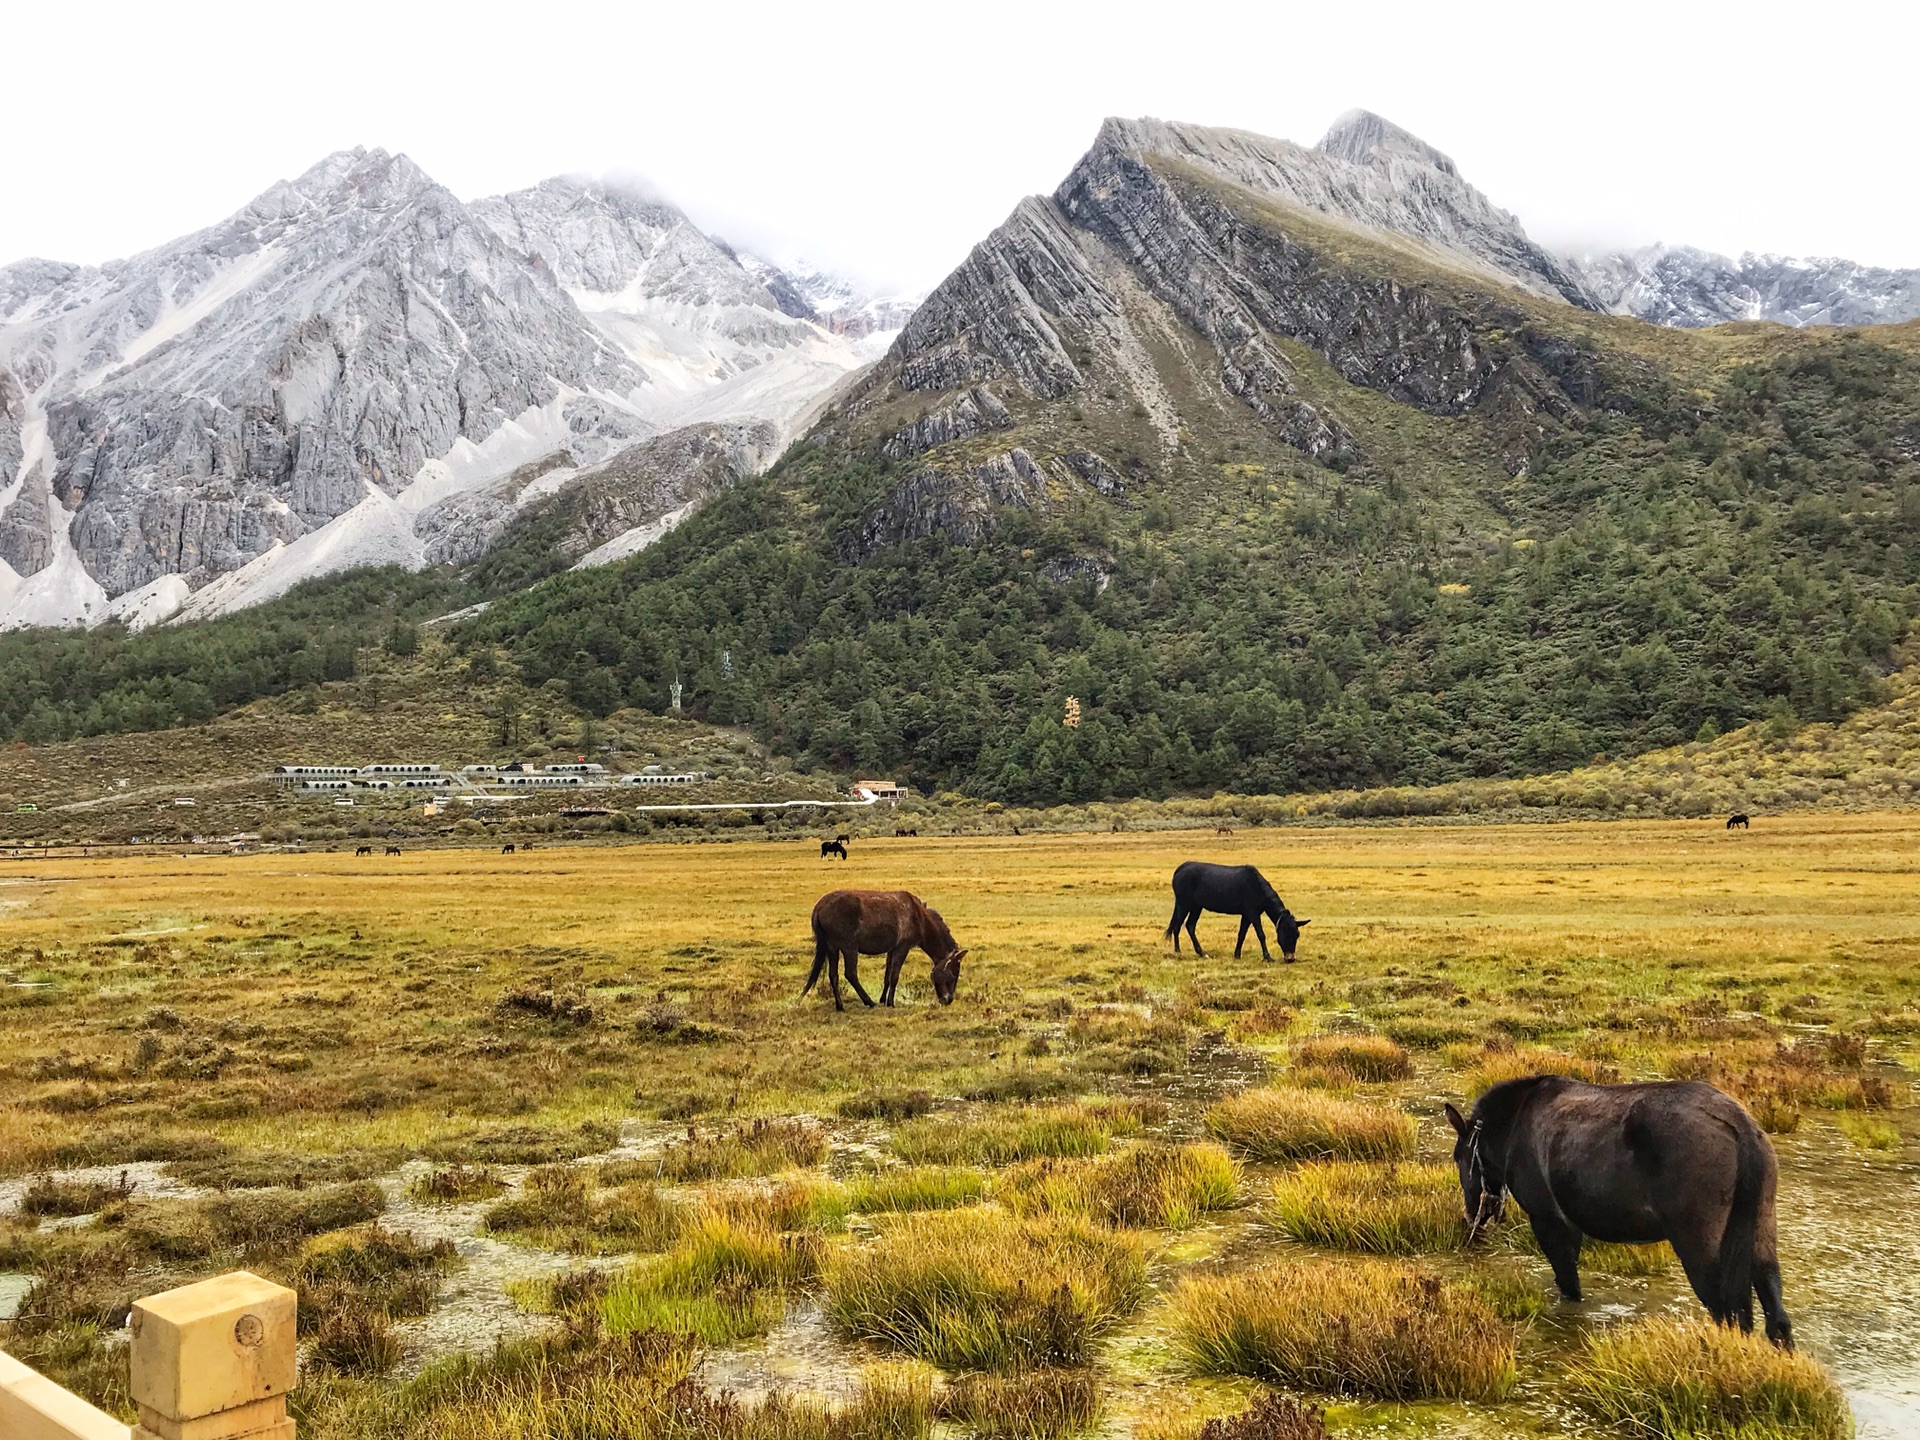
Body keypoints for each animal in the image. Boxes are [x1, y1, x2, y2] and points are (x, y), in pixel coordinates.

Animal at [802, 890, 967, 1013]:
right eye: (952, 976)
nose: (948, 1000)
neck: (919, 917)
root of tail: (819, 907)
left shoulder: (891, 950)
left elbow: (887, 976)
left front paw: (883, 999)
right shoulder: (902, 947)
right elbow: (894, 976)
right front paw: (890, 1002)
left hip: (832, 948)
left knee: (833, 975)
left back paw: (840, 1006)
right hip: (849, 948)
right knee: (850, 974)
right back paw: (869, 1002)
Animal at [1159, 864, 1313, 963]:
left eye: (1297, 935)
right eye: (1286, 934)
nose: (1290, 959)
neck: (1257, 887)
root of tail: (1179, 869)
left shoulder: (1246, 915)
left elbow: (1241, 934)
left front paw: (1237, 955)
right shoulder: (1253, 914)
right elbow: (1261, 934)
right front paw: (1267, 957)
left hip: (1197, 906)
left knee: (1190, 926)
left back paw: (1202, 953)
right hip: (1184, 904)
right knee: (1178, 926)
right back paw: (1178, 952)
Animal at [1443, 1075, 1789, 1351]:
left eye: (1458, 1156)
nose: (1471, 1217)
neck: (1515, 1122)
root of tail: (1741, 1128)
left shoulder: (1549, 1222)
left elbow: (1568, 1283)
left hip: (1699, 1246)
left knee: (1728, 1313)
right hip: (1761, 1235)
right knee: (1777, 1318)